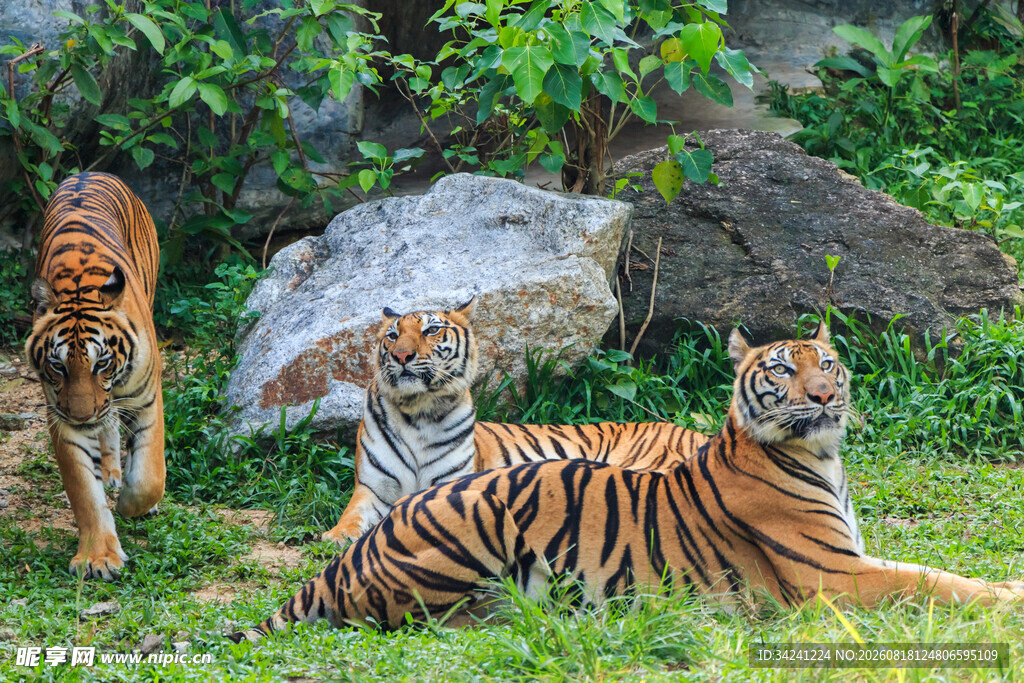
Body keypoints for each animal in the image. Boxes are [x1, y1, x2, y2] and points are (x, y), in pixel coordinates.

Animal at [24, 172, 164, 581]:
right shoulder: (61, 416)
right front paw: (99, 557)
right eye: (58, 366)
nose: (83, 414)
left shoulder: (147, 397)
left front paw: (132, 504)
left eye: (101, 363)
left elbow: (150, 476)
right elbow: (85, 491)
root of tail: (89, 172)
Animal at [322, 299, 709, 544]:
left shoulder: (449, 483)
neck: (419, 410)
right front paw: (336, 536)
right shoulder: (372, 488)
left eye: (431, 331)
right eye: (392, 335)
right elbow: (351, 516)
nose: (402, 355)